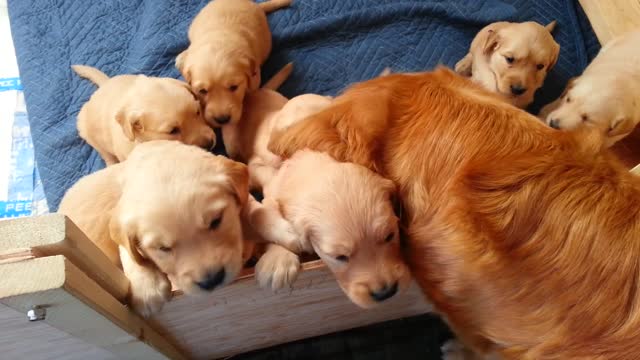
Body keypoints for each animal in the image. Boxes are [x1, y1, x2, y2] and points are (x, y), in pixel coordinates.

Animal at [71, 65, 214, 166]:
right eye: (172, 131)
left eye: (198, 112)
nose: (210, 144)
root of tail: (104, 84)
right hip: (88, 134)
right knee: (106, 154)